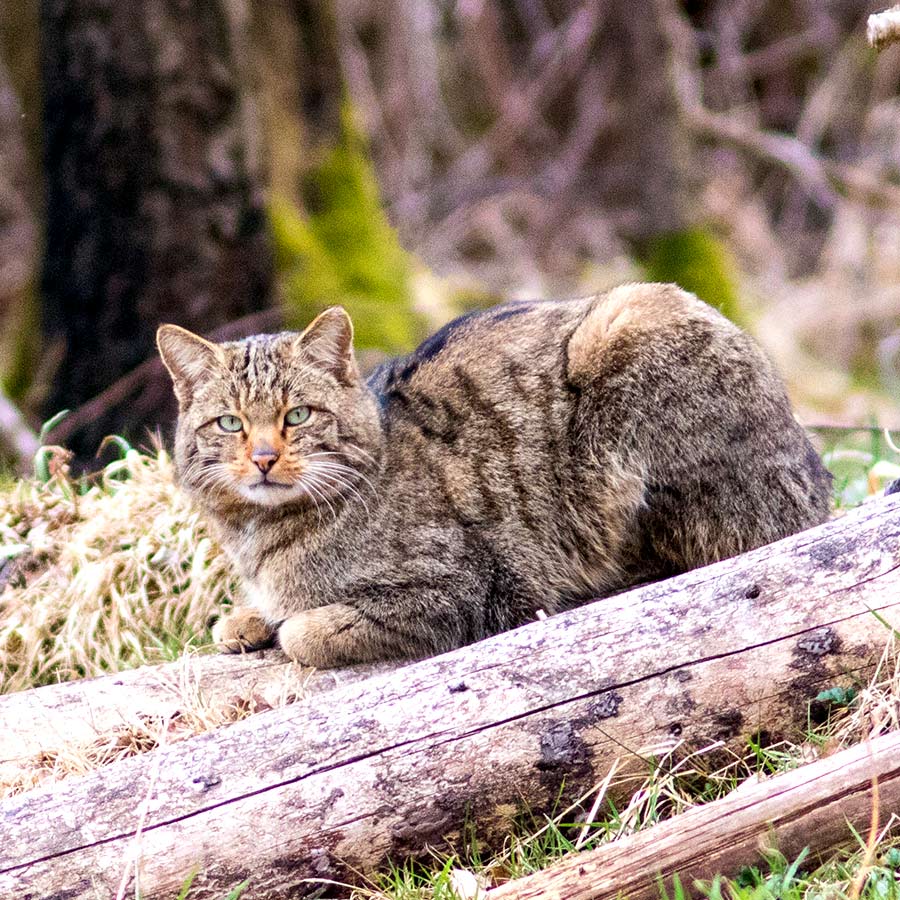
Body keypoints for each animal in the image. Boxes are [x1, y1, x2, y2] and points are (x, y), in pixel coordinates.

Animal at [160, 284, 828, 668]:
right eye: (228, 424)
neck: (262, 536)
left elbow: (306, 632)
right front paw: (248, 618)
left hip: (627, 333)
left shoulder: (463, 589)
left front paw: (284, 624)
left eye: (296, 416)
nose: (263, 457)